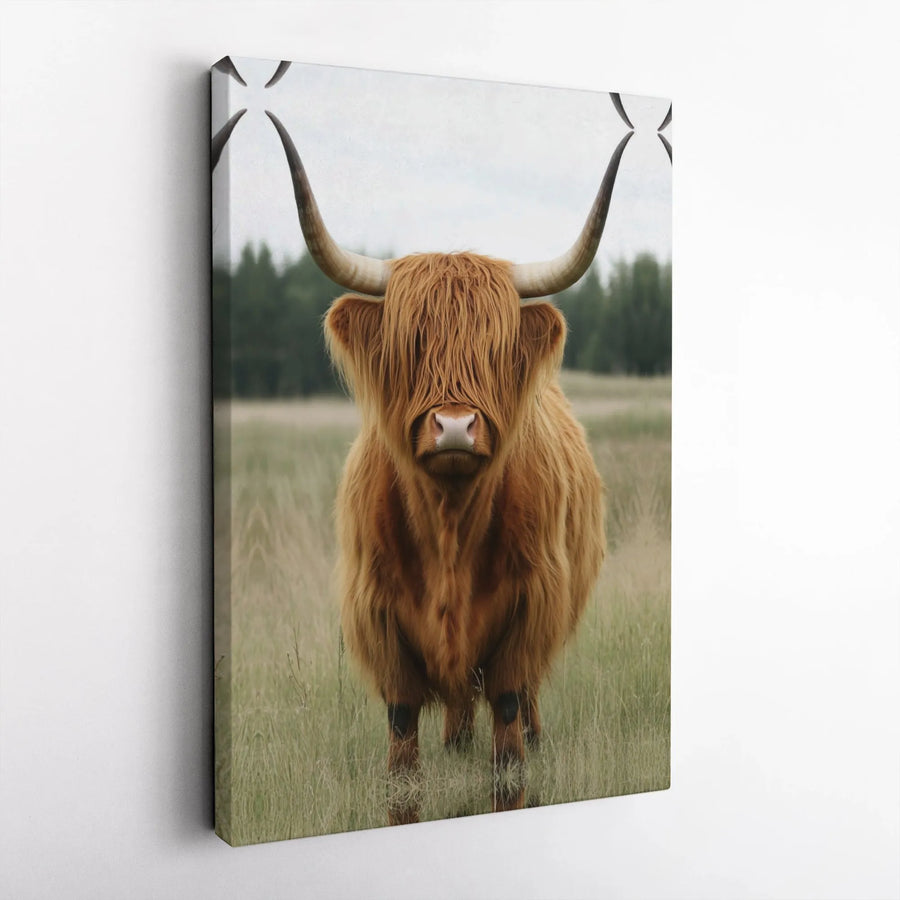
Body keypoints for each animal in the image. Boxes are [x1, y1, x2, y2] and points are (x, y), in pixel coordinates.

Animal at [267, 111, 632, 822]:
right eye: (410, 343)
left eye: (494, 347)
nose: (456, 426)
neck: (449, 525)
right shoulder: (382, 626)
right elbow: (402, 761)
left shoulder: (528, 613)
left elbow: (509, 747)